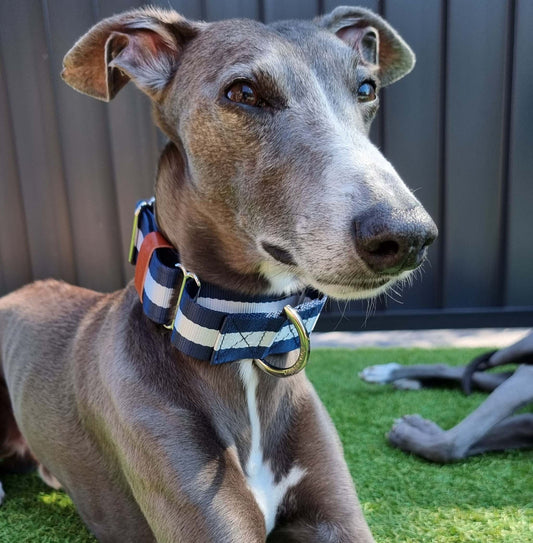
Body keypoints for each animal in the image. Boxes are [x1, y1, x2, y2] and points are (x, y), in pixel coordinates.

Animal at [0, 5, 436, 543]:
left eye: (366, 88)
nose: (407, 235)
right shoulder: (205, 513)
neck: (241, 342)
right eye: (243, 92)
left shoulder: (337, 518)